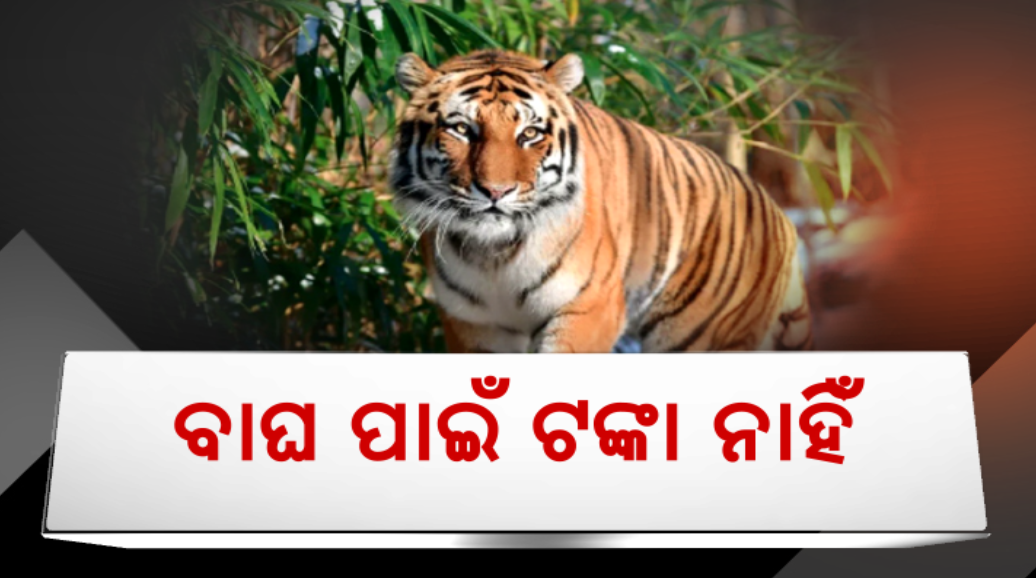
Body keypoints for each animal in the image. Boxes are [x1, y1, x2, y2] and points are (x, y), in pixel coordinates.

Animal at [389, 49, 812, 353]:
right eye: (462, 129)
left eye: (529, 133)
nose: (496, 191)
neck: (494, 254)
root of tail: (778, 213)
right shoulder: (474, 324)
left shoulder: (590, 307)